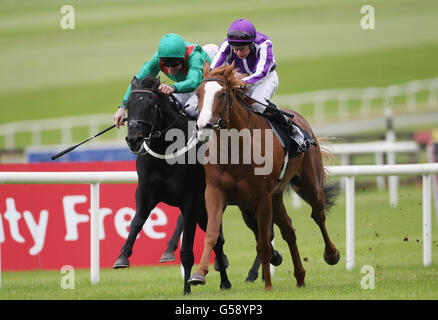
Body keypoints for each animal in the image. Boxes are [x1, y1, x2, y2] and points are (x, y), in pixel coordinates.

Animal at [113, 75, 280, 296]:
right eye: (129, 105)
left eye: (150, 105)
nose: (133, 139)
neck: (166, 152)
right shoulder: (146, 193)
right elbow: (136, 222)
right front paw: (122, 256)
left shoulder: (190, 200)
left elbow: (186, 250)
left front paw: (186, 288)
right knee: (220, 240)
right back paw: (226, 281)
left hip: (245, 204)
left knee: (263, 233)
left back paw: (261, 266)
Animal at [187, 62, 338, 290]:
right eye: (198, 92)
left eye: (222, 94)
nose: (203, 127)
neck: (236, 150)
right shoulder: (215, 193)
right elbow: (212, 235)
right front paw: (199, 274)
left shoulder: (262, 198)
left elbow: (264, 244)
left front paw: (268, 286)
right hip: (275, 197)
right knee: (289, 230)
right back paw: (300, 277)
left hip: (308, 185)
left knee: (318, 214)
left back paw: (331, 255)